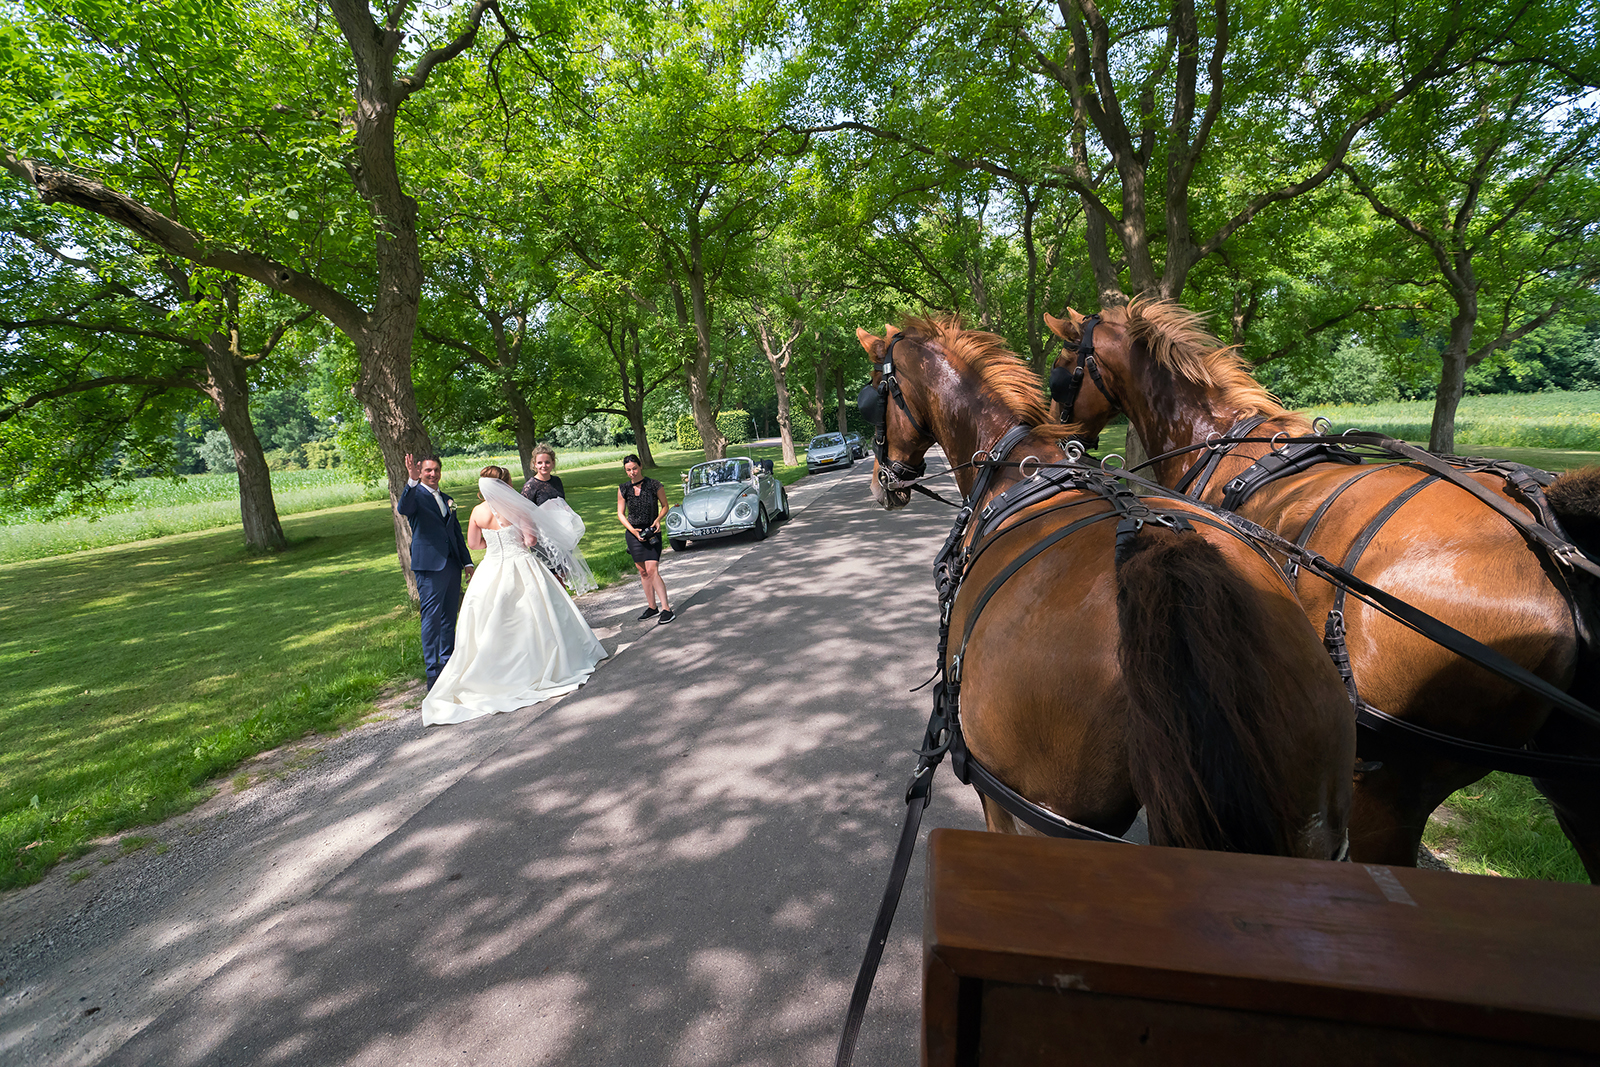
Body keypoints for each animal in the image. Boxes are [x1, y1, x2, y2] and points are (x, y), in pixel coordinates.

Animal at [1049, 302, 1600, 883]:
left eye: (1060, 369)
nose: (1057, 431)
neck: (1222, 443)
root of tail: (1550, 536)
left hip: (1386, 785)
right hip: (1569, 784)